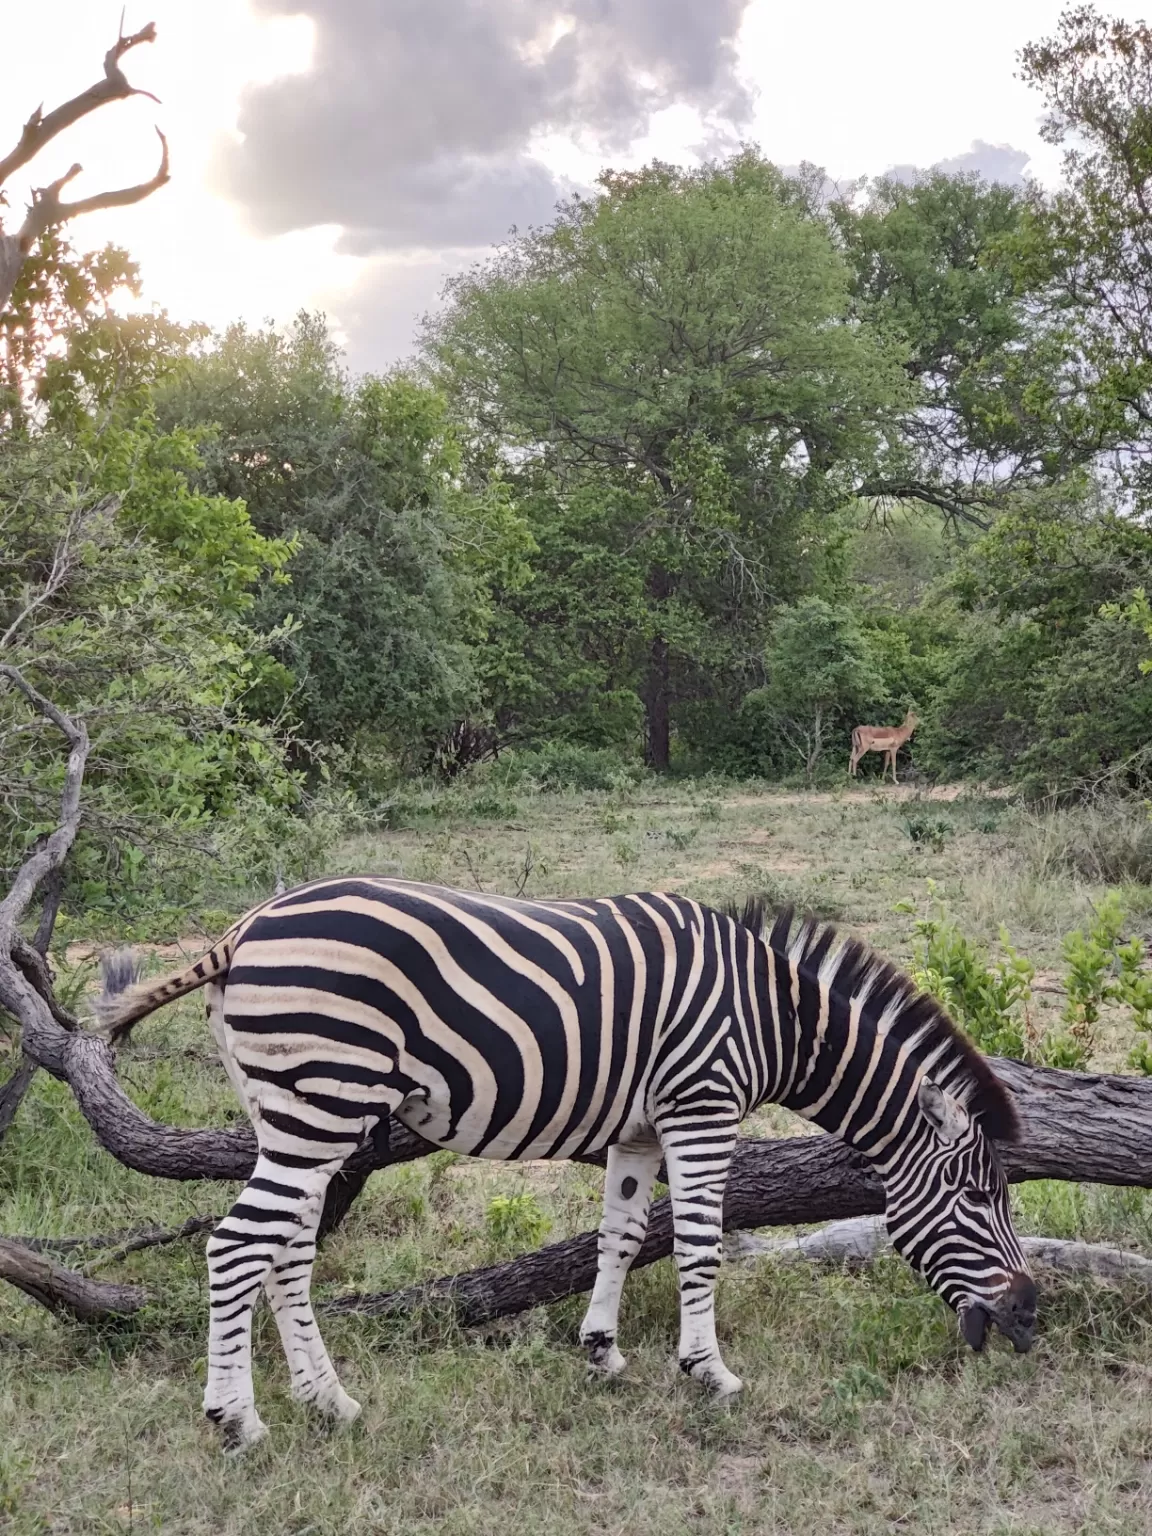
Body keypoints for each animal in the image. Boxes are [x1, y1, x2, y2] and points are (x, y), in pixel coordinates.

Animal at [97, 878, 1038, 1449]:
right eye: (978, 1198)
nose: (1030, 1316)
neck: (773, 1018)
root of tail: (245, 927)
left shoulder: (640, 1129)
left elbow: (619, 1234)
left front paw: (602, 1353)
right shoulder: (702, 1106)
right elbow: (700, 1243)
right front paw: (710, 1372)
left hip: (289, 1113)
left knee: (286, 1249)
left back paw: (330, 1402)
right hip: (322, 1100)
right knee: (236, 1247)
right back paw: (238, 1420)